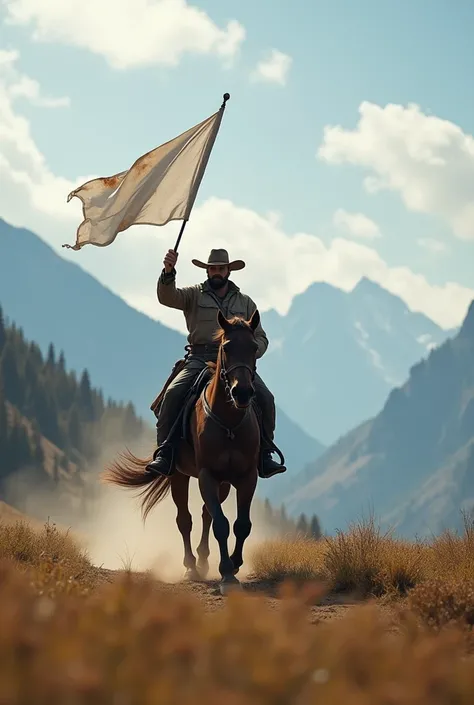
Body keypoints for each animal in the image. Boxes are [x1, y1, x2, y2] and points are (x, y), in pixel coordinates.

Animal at [103, 310, 262, 592]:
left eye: (254, 347)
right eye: (226, 347)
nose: (242, 392)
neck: (229, 423)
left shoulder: (247, 477)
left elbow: (241, 524)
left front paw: (235, 563)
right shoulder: (207, 475)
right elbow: (221, 524)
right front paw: (227, 573)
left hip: (222, 483)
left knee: (206, 514)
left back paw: (204, 560)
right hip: (178, 475)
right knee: (185, 519)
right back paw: (191, 566)